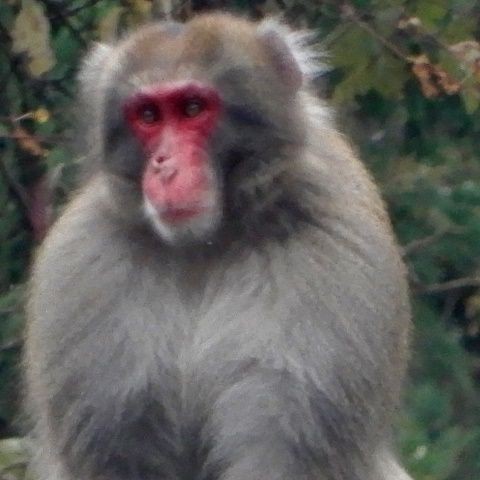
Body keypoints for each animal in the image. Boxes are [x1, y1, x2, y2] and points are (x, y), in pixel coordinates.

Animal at [23, 13, 412, 480]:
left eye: (193, 108)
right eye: (148, 115)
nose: (164, 166)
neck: (205, 246)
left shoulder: (330, 252)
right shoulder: (85, 263)